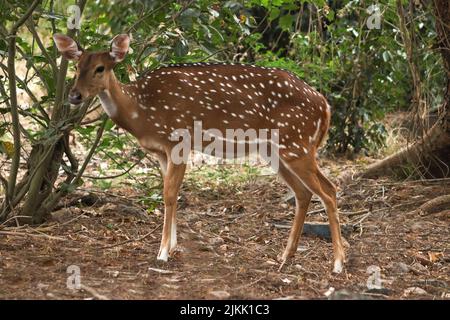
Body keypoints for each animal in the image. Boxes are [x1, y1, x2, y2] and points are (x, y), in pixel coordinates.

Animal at [52, 33, 346, 272]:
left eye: (100, 68)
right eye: (76, 67)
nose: (74, 96)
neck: (140, 112)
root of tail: (325, 106)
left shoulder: (178, 139)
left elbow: (169, 194)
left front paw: (162, 253)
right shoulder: (161, 152)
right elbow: (172, 193)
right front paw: (172, 247)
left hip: (296, 143)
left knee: (329, 190)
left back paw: (337, 264)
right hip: (276, 150)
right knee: (303, 193)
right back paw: (285, 256)